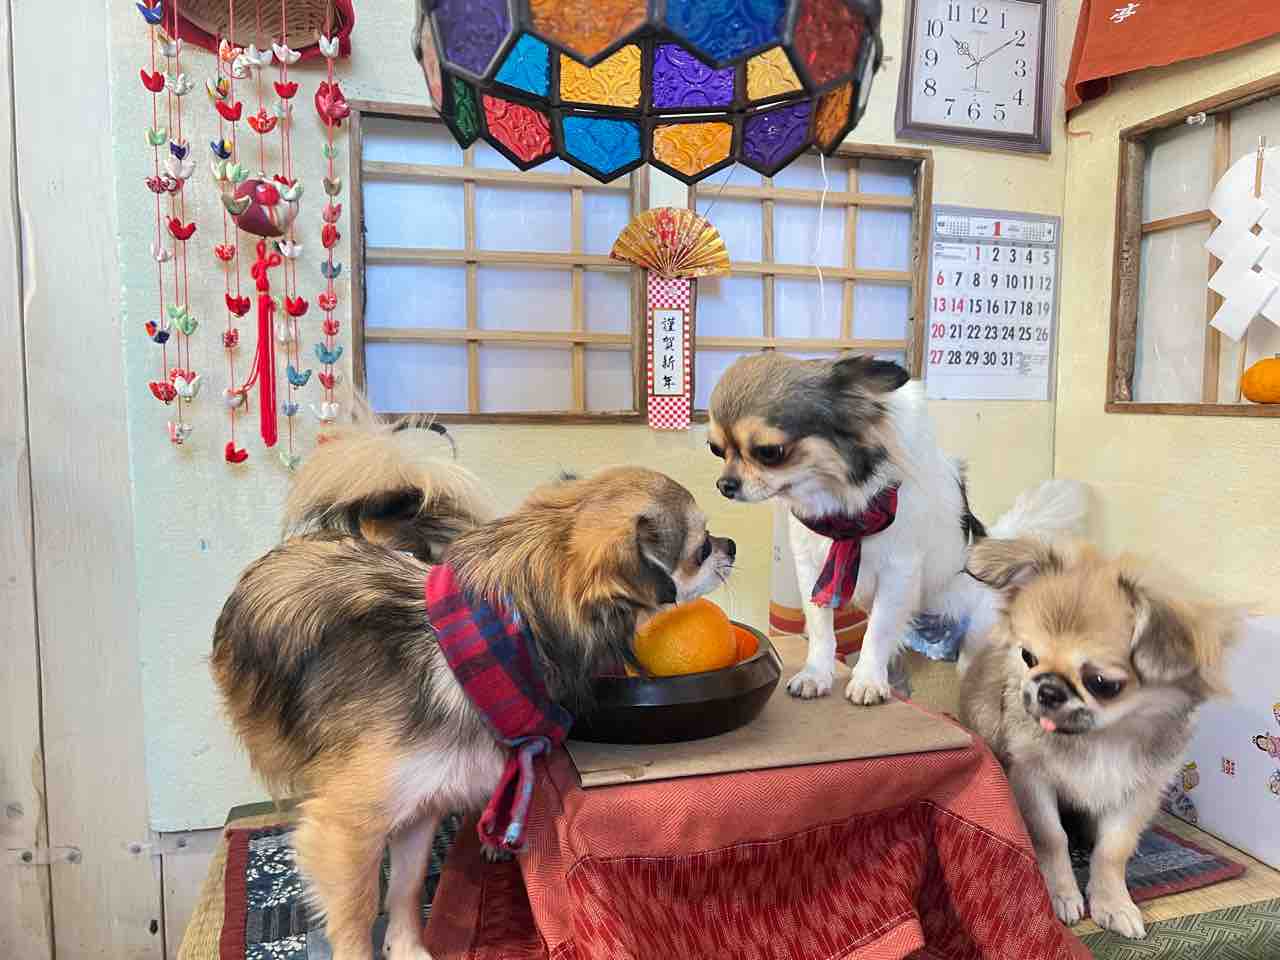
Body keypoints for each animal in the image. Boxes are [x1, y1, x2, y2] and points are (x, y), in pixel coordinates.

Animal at [212, 459, 735, 960]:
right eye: (700, 549)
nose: (730, 543)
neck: (491, 640)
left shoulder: (420, 805)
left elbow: (406, 888)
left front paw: (409, 950)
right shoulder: (347, 824)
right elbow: (356, 914)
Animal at [707, 352, 1086, 705]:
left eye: (770, 452)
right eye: (716, 449)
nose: (724, 485)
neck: (845, 507)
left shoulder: (898, 572)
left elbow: (877, 629)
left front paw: (867, 680)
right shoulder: (813, 569)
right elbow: (821, 628)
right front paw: (816, 673)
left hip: (976, 636)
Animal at [960, 537, 1240, 938]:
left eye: (1102, 683)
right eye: (1028, 656)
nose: (1046, 690)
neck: (1101, 738)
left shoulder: (1136, 793)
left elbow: (1112, 850)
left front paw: (1112, 902)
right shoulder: (1032, 779)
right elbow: (1051, 837)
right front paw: (1060, 894)